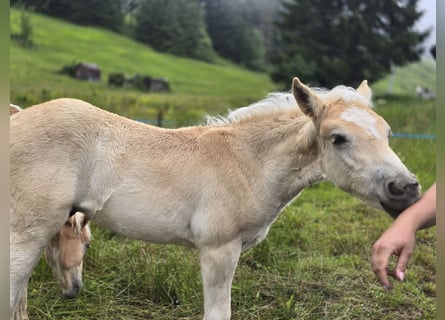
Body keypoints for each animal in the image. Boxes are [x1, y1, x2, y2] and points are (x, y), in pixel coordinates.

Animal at [11, 78, 420, 320]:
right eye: (338, 138)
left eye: (386, 132)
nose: (407, 189)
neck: (247, 162)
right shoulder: (219, 250)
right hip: (28, 232)